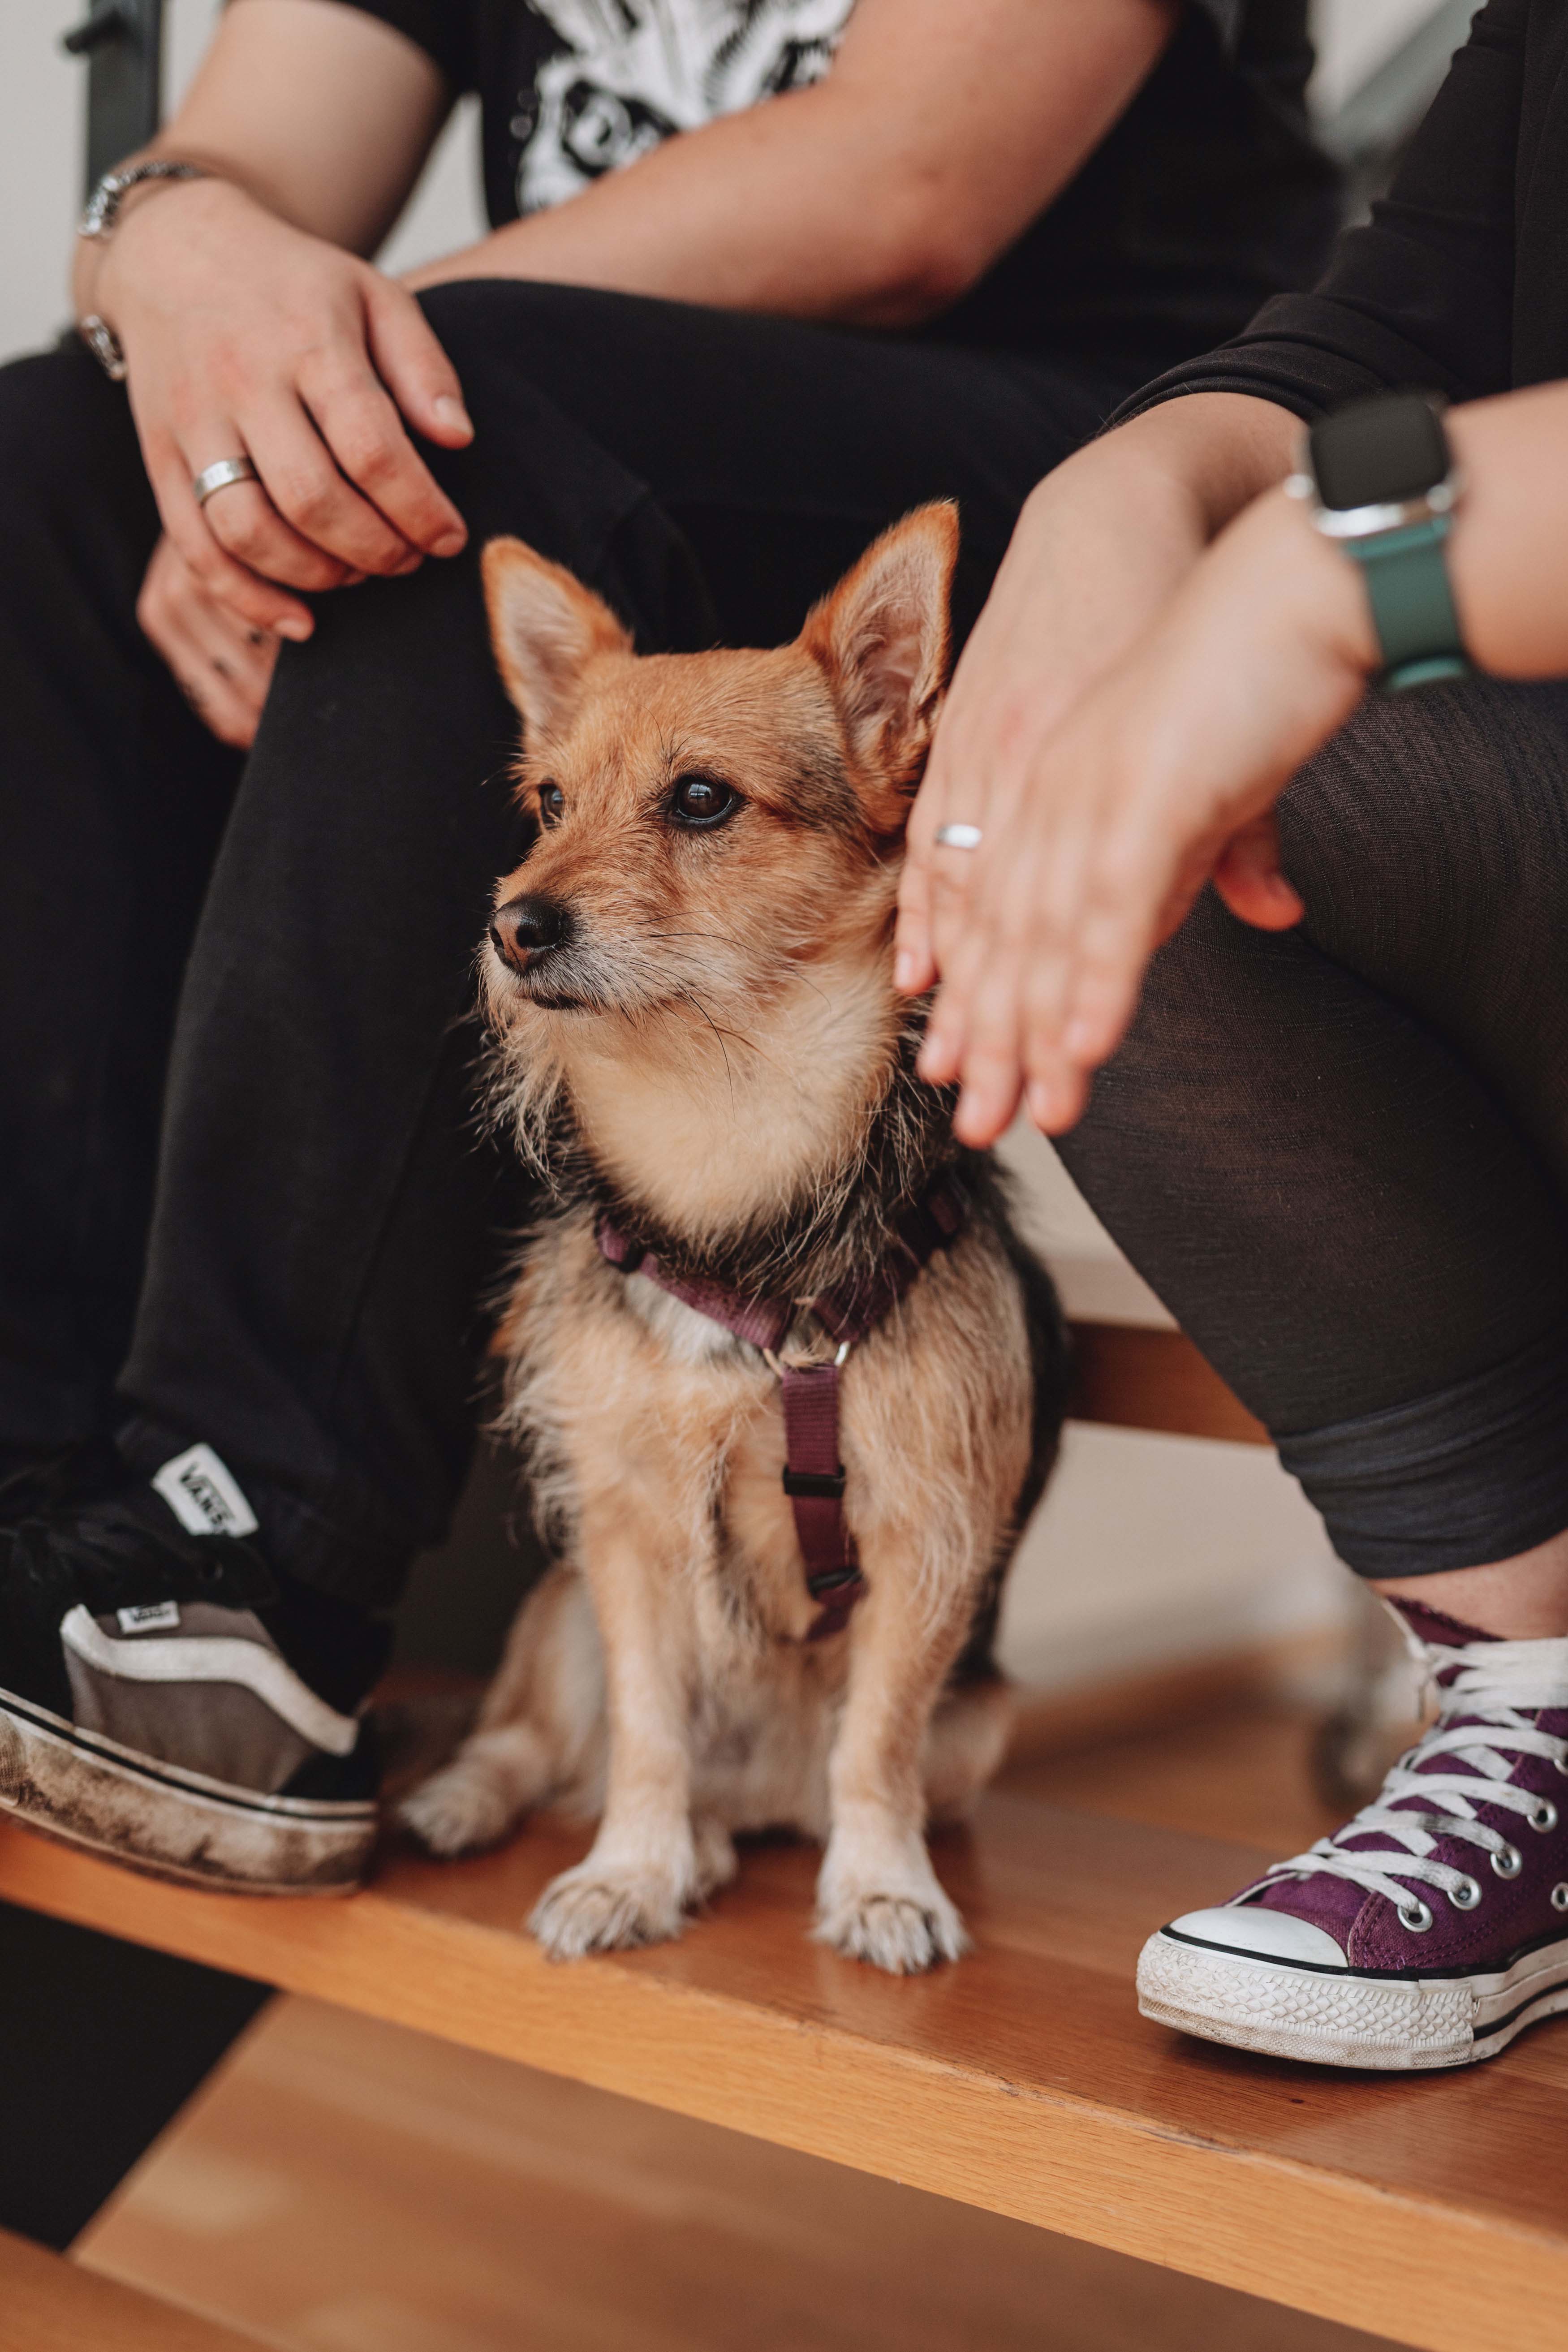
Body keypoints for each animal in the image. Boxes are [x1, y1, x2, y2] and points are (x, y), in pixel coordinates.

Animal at [404, 510, 1067, 1966]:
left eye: (701, 800)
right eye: (548, 804)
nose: (511, 924)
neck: (730, 1163)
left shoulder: (926, 1541)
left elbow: (874, 1750)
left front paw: (881, 1888)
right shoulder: (629, 1525)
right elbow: (649, 1732)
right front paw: (628, 1871)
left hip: (984, 1718)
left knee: (819, 1782)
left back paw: (737, 1841)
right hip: (559, 1614)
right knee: (540, 1741)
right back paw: (483, 1806)